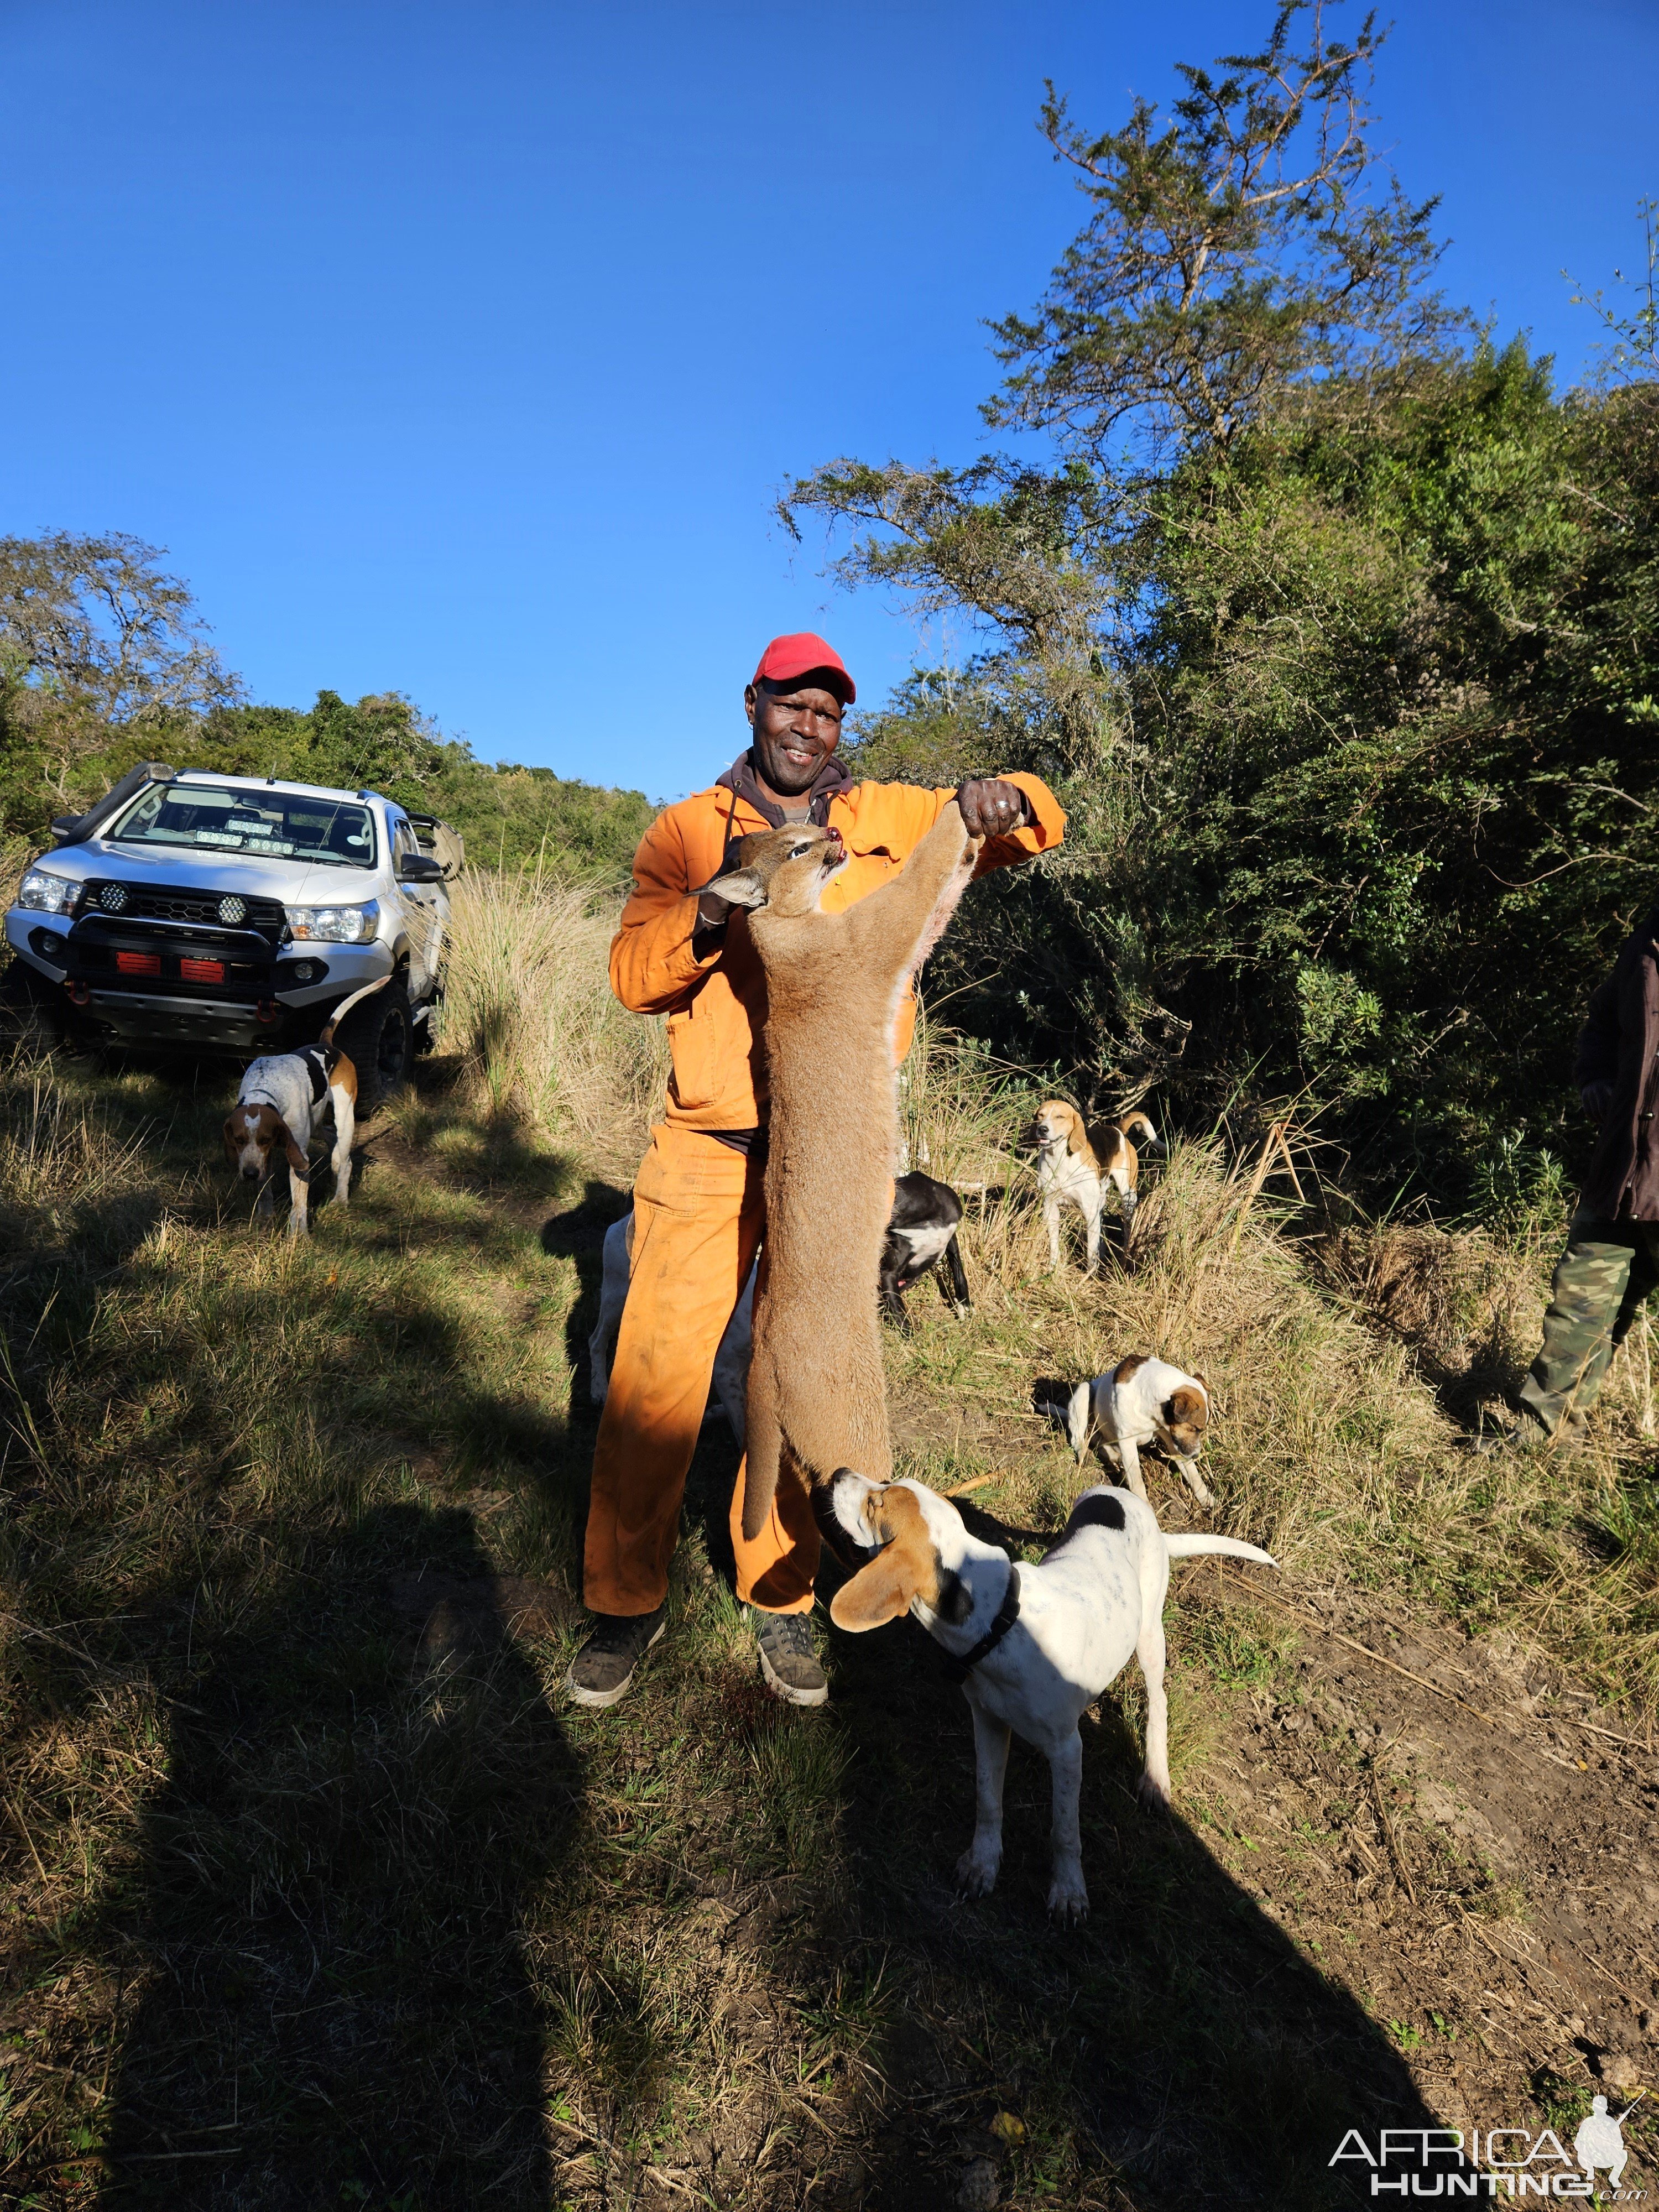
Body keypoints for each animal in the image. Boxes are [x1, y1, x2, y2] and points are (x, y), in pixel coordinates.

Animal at [827, 1478, 1283, 1929]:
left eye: (876, 1503)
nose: (838, 1474)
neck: (1001, 1622)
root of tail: (1131, 1500)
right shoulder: (988, 1721)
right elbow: (988, 1800)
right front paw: (983, 1864)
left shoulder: (1068, 1750)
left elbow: (1064, 1833)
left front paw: (1068, 1891)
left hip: (1150, 1635)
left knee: (1160, 1701)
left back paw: (1156, 1776)